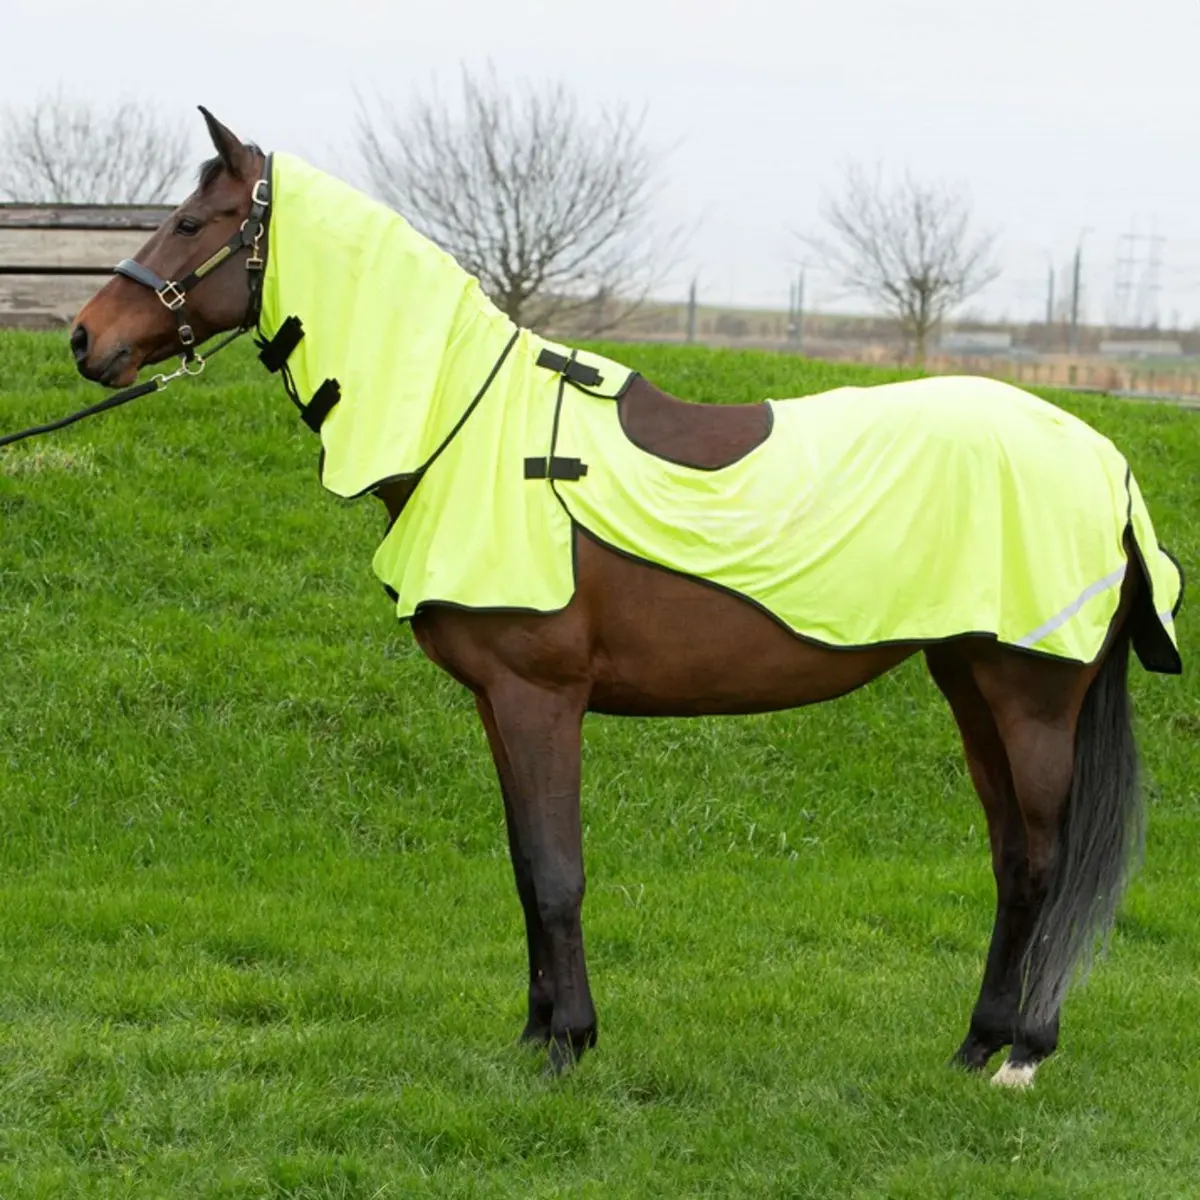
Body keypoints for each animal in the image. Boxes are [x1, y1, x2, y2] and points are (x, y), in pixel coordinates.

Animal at [68, 107, 1183, 1088]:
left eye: (193, 222)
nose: (85, 339)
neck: (468, 426)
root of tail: (1106, 463)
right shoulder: (497, 704)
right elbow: (526, 867)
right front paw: (535, 1035)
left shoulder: (540, 695)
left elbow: (558, 868)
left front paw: (569, 1046)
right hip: (968, 684)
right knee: (1012, 861)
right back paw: (975, 1045)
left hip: (1029, 695)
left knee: (1045, 862)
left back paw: (1023, 1055)